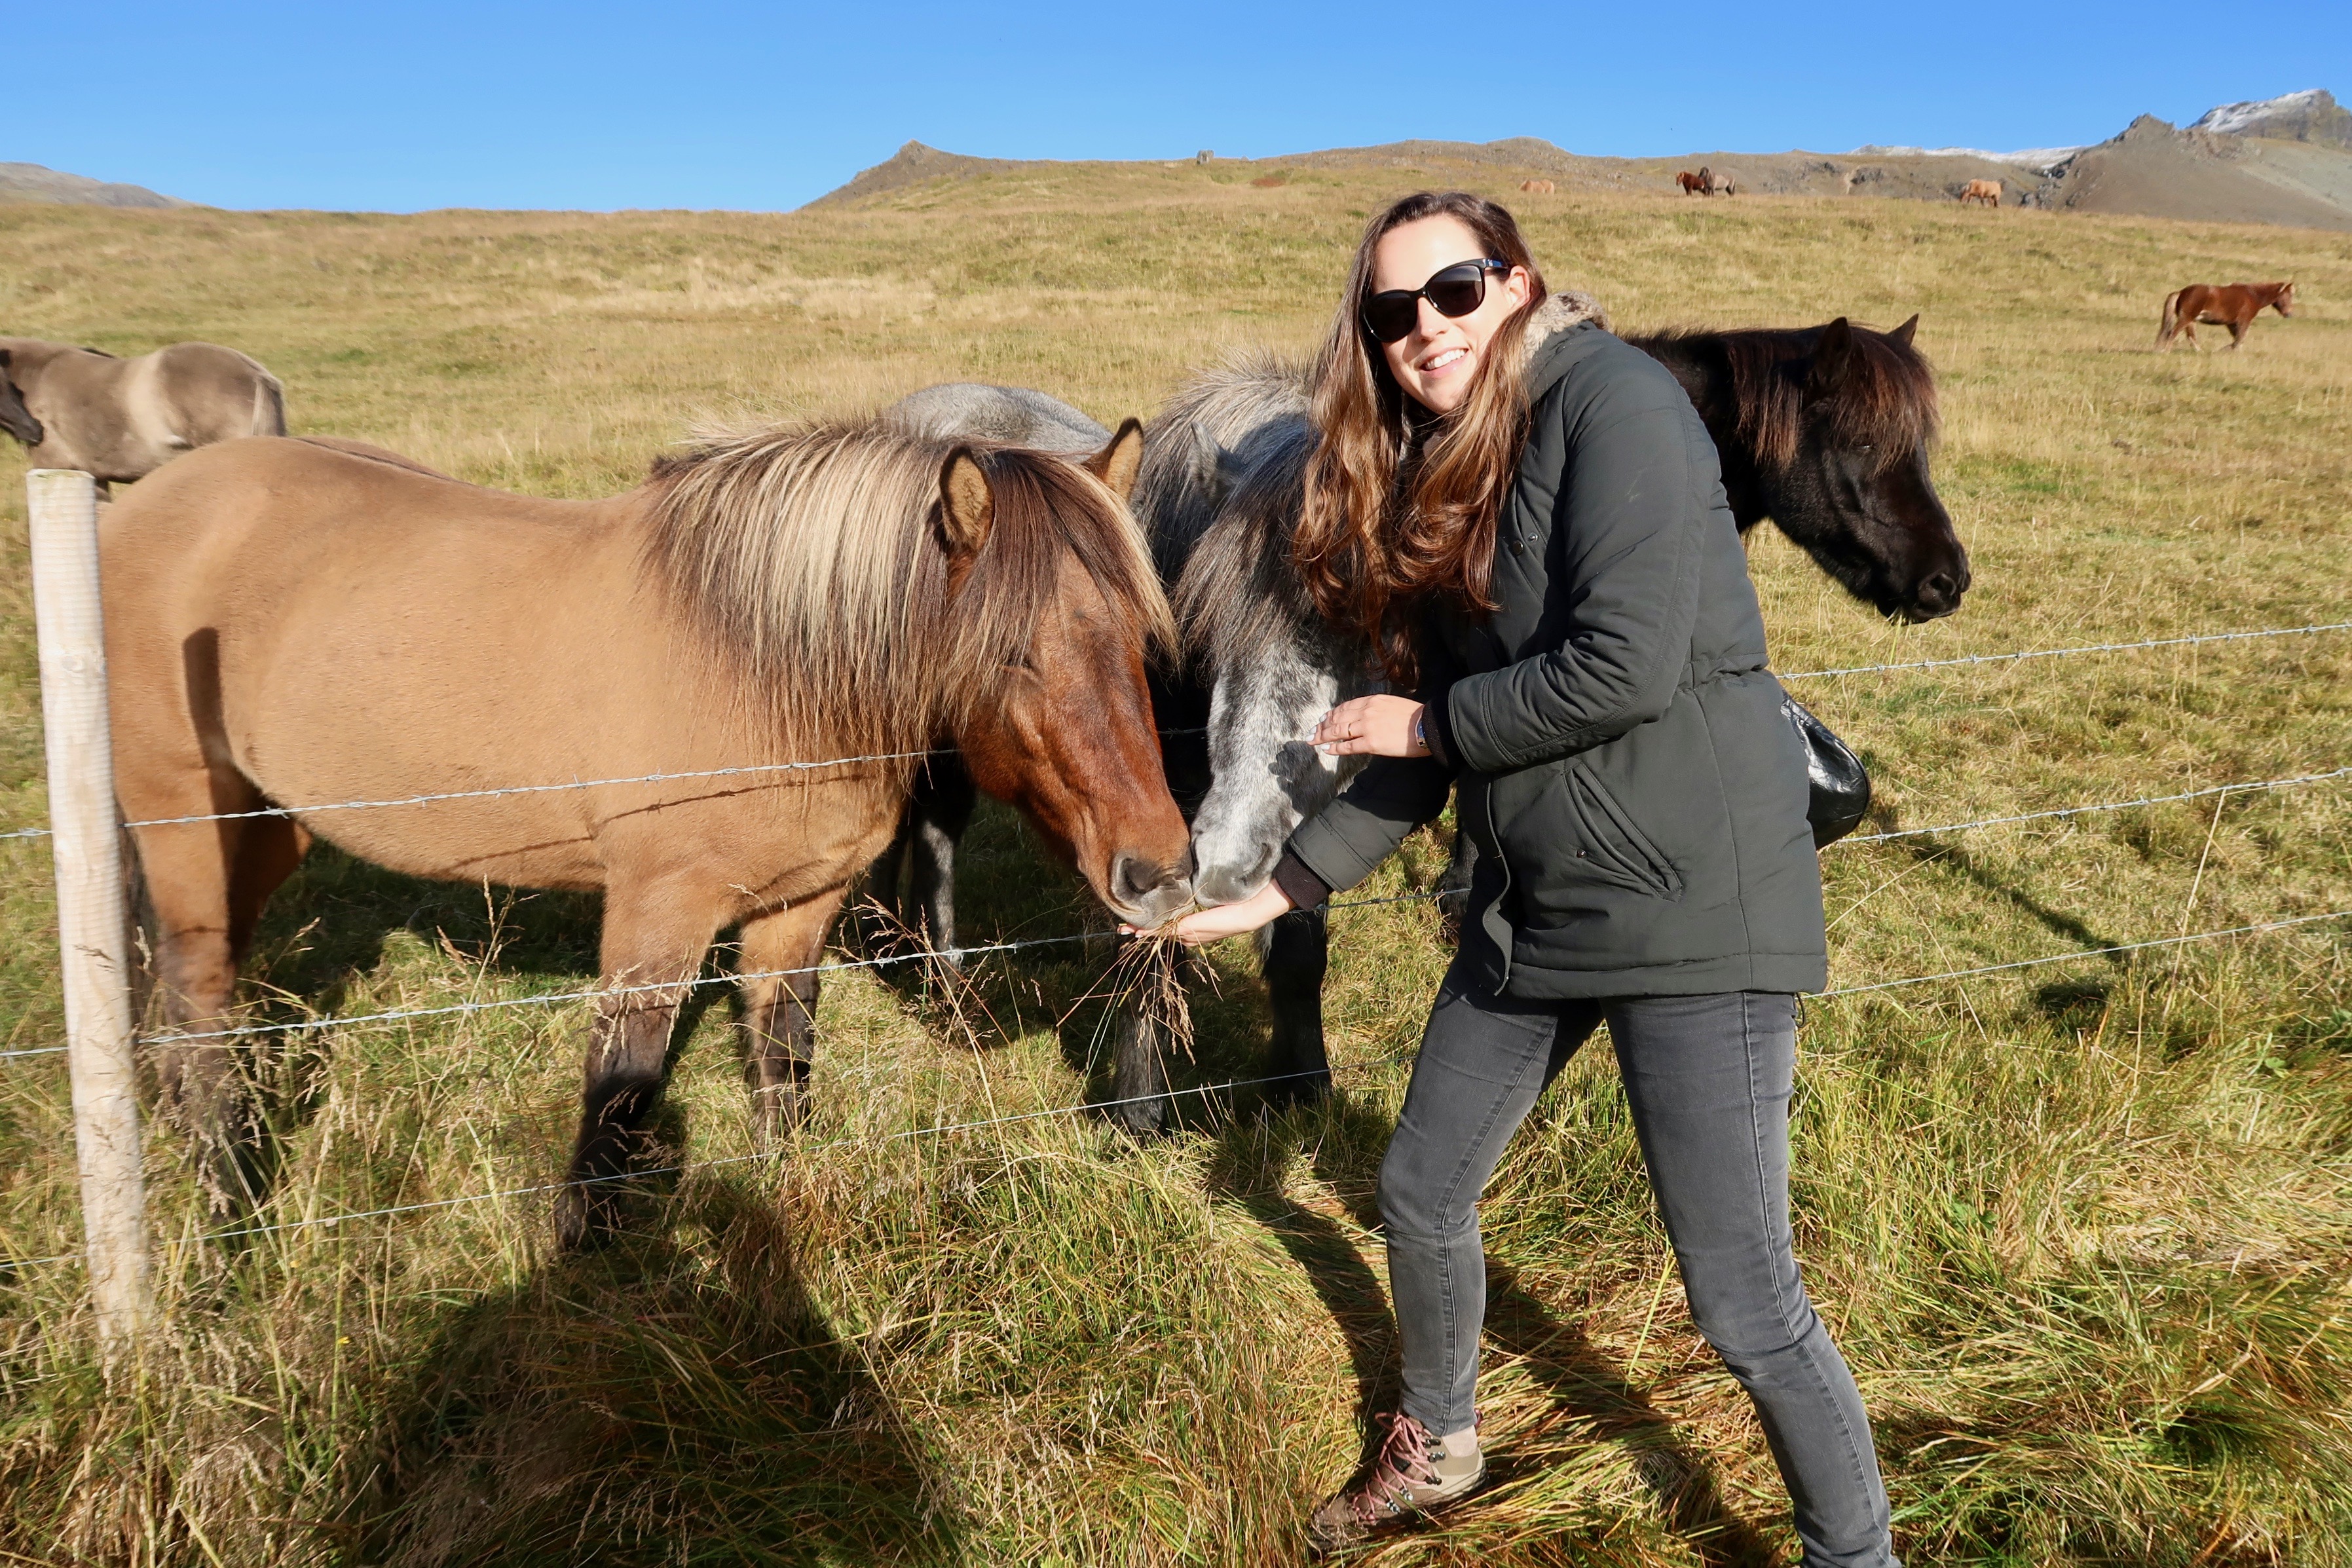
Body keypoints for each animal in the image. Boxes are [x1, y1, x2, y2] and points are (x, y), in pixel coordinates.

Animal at [100, 419, 1193, 1246]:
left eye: (1141, 639)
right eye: (1011, 654)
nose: (1158, 871)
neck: (763, 664)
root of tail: (138, 506)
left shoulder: (799, 909)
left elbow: (782, 1057)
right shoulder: (656, 914)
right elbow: (619, 1086)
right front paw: (584, 1257)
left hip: (262, 827)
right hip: (183, 820)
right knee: (198, 995)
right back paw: (224, 1209)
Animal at [888, 307, 1965, 1129]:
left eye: (1376, 628)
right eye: (1861, 447)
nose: (1944, 579)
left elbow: (1298, 943)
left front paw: (1299, 1085)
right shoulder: (1155, 809)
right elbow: (1147, 945)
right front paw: (1139, 1111)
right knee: (933, 835)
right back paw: (942, 980)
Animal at [2156, 281, 2295, 351]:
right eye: (2289, 295)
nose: (2289, 314)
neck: (2254, 296)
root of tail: (2181, 292)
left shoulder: (2231, 323)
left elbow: (2238, 340)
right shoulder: (2244, 320)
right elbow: (2240, 339)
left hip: (2191, 320)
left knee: (2191, 336)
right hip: (2186, 319)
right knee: (2173, 333)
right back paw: (2166, 351)